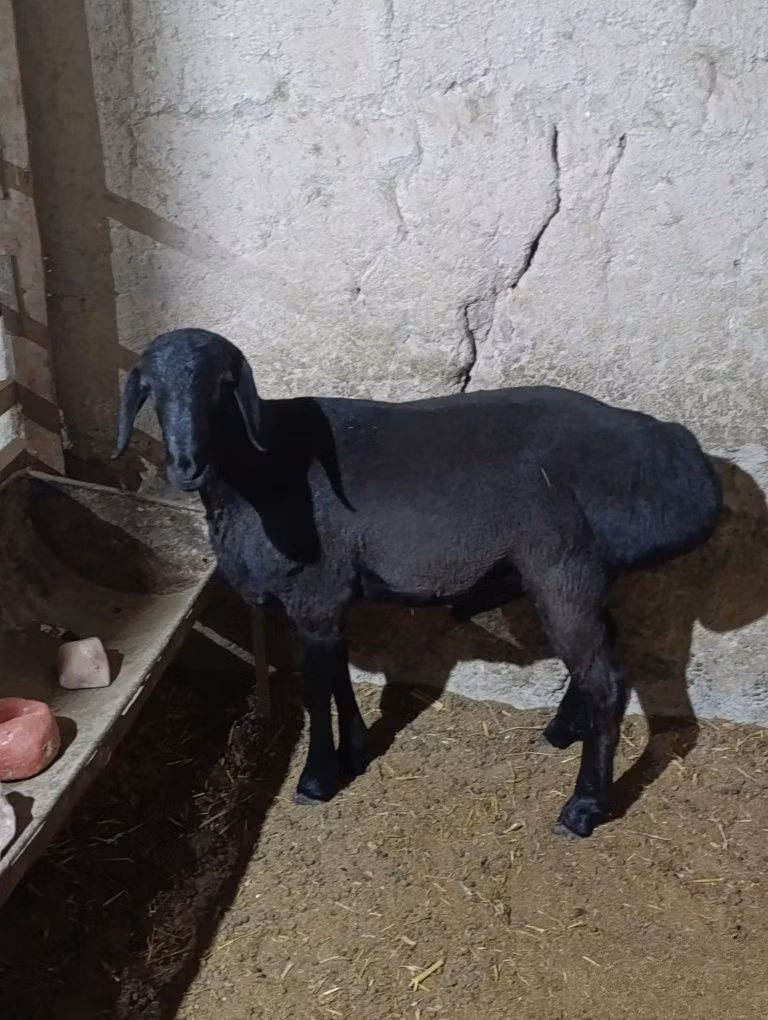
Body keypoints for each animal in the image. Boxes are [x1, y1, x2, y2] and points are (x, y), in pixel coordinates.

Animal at [113, 328, 723, 838]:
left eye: (222, 387)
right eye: (150, 389)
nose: (185, 465)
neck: (257, 472)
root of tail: (681, 451)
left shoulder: (315, 594)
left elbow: (315, 687)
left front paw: (316, 779)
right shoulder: (332, 599)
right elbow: (338, 675)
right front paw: (355, 750)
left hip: (562, 569)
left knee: (607, 682)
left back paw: (583, 808)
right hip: (585, 574)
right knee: (605, 649)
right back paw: (562, 730)